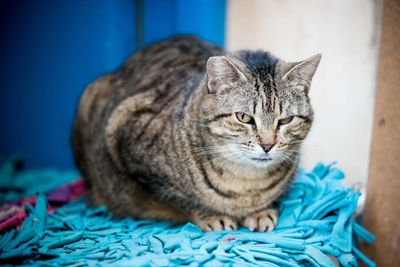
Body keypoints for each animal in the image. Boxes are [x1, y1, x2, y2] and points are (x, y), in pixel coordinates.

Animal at [72, 35, 320, 232]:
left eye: (286, 120)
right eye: (243, 117)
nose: (267, 145)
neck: (246, 184)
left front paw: (260, 211)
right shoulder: (127, 143)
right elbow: (184, 200)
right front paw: (212, 215)